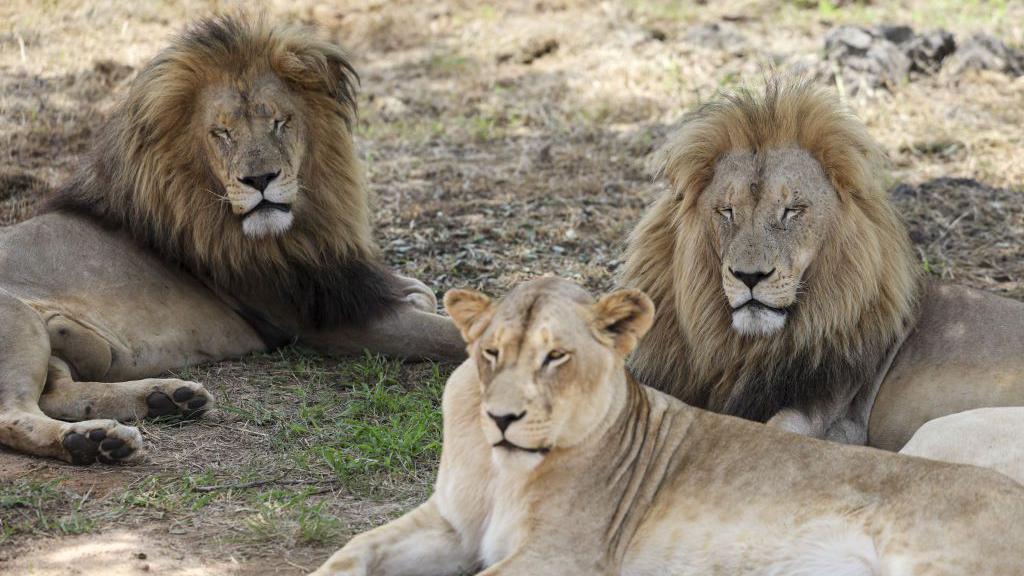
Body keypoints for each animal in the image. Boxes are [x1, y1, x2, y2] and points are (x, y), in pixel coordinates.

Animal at [0, 15, 464, 463]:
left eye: (280, 122)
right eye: (221, 133)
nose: (259, 179)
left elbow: (423, 293)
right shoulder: (331, 321)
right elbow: (451, 333)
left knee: (58, 392)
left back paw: (161, 402)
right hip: (20, 321)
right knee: (14, 415)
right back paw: (91, 442)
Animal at [307, 274, 1024, 573]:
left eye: (556, 356)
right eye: (491, 353)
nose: (503, 417)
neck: (502, 467)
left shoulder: (562, 558)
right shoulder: (453, 527)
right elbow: (348, 554)